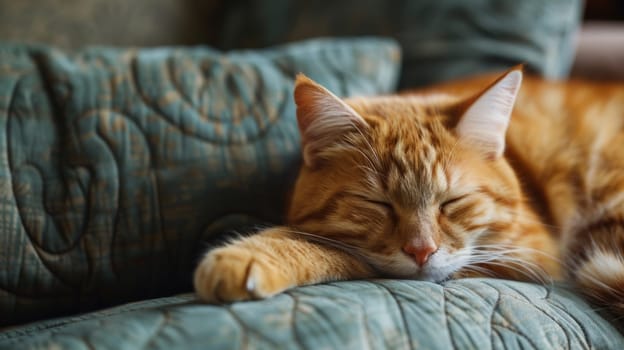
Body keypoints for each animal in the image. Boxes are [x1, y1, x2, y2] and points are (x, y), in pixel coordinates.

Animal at [193, 66, 624, 318]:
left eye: (452, 202)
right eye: (379, 204)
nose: (421, 251)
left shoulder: (531, 254)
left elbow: (331, 248)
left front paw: (247, 255)